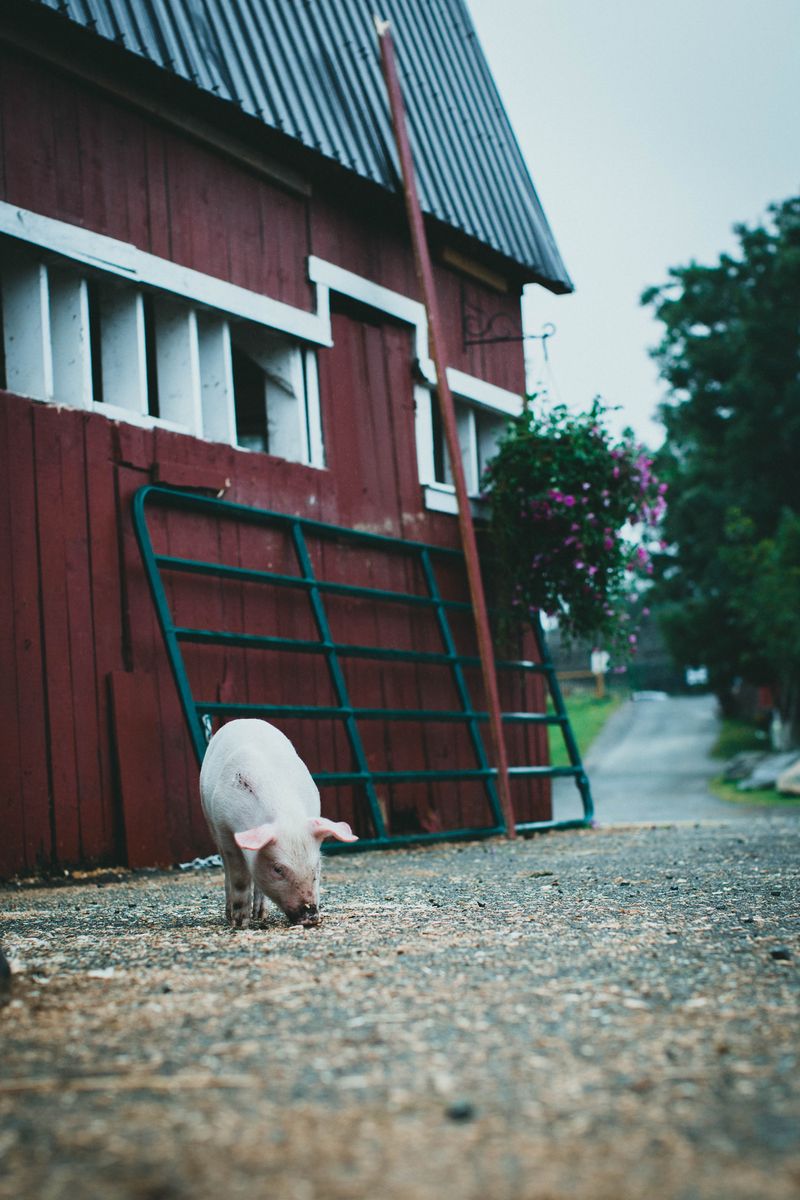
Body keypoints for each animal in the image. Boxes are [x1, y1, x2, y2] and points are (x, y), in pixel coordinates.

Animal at [199, 719, 357, 929]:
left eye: (316, 867)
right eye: (278, 869)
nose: (311, 917)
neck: (285, 814)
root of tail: (244, 719)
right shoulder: (224, 828)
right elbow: (239, 878)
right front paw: (240, 923)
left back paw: (260, 915)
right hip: (209, 821)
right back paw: (230, 915)